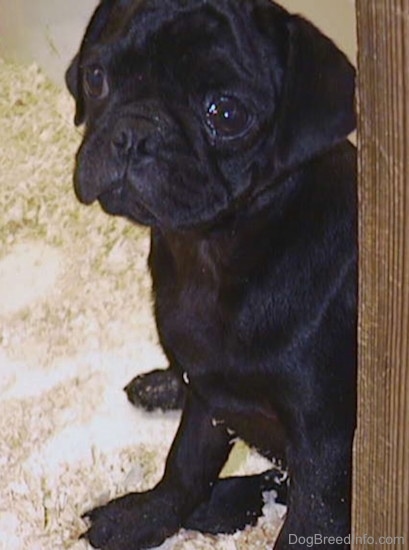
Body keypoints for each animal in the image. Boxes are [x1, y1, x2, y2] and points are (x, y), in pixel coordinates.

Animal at [65, 1, 356, 550]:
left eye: (225, 113)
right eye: (96, 78)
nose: (135, 133)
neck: (212, 251)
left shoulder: (327, 444)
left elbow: (310, 520)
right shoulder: (208, 393)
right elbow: (185, 465)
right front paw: (146, 516)